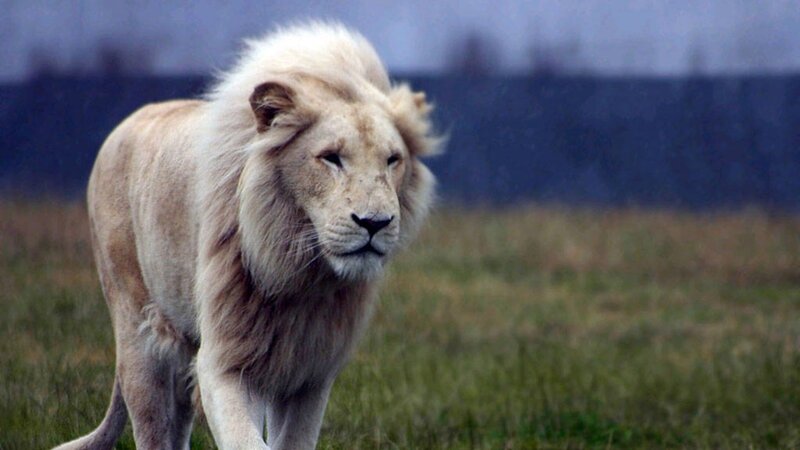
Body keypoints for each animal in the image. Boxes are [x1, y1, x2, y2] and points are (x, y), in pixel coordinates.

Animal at [54, 22, 441, 450]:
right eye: (331, 158)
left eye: (392, 160)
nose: (375, 223)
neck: (298, 271)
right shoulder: (225, 362)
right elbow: (246, 439)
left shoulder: (309, 374)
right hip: (138, 330)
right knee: (151, 425)